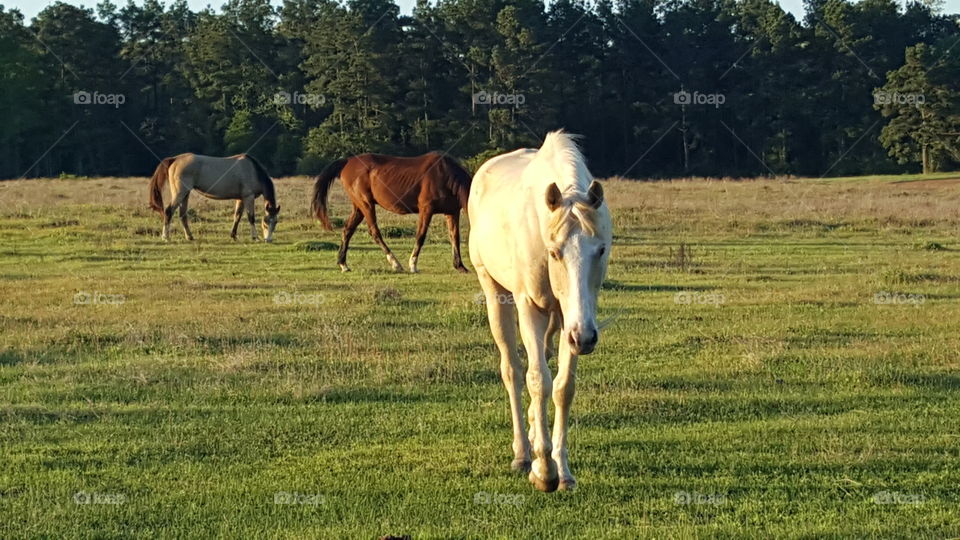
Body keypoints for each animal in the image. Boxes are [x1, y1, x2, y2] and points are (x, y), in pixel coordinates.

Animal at [148, 153, 280, 242]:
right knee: (168, 211)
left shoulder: (240, 198)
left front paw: (233, 235)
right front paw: (255, 237)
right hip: (180, 193)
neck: (253, 171)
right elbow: (251, 217)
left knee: (183, 215)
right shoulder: (248, 197)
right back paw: (165, 237)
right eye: (265, 222)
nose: (268, 240)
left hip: (185, 194)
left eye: (276, 222)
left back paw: (189, 236)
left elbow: (237, 216)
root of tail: (175, 159)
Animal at [311, 152, 471, 273]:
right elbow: (421, 235)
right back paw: (395, 263)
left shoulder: (452, 212)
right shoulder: (426, 209)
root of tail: (347, 161)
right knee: (374, 232)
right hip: (366, 205)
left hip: (358, 208)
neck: (445, 175)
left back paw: (343, 264)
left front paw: (460, 266)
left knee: (347, 230)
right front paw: (413, 264)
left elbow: (454, 237)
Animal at [468, 131, 612, 492]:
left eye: (601, 249)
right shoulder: (530, 308)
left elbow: (561, 387)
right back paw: (523, 453)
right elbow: (536, 381)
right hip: (495, 294)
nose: (586, 339)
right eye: (555, 251)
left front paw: (563, 470)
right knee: (513, 371)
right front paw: (544, 471)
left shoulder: (572, 319)